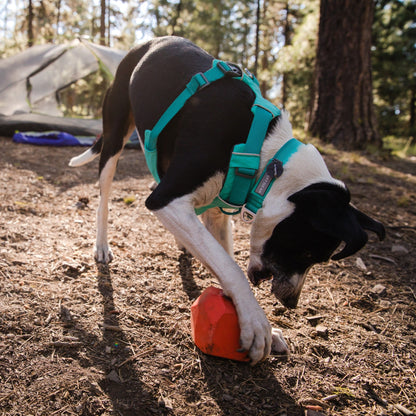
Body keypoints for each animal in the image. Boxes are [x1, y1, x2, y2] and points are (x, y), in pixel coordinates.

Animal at [70, 36, 386, 364]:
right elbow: (231, 268)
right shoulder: (166, 200)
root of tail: (145, 45)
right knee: (104, 199)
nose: (291, 303)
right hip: (114, 139)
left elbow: (222, 260)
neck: (267, 153)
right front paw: (258, 323)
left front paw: (256, 320)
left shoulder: (216, 213)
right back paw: (102, 245)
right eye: (309, 253)